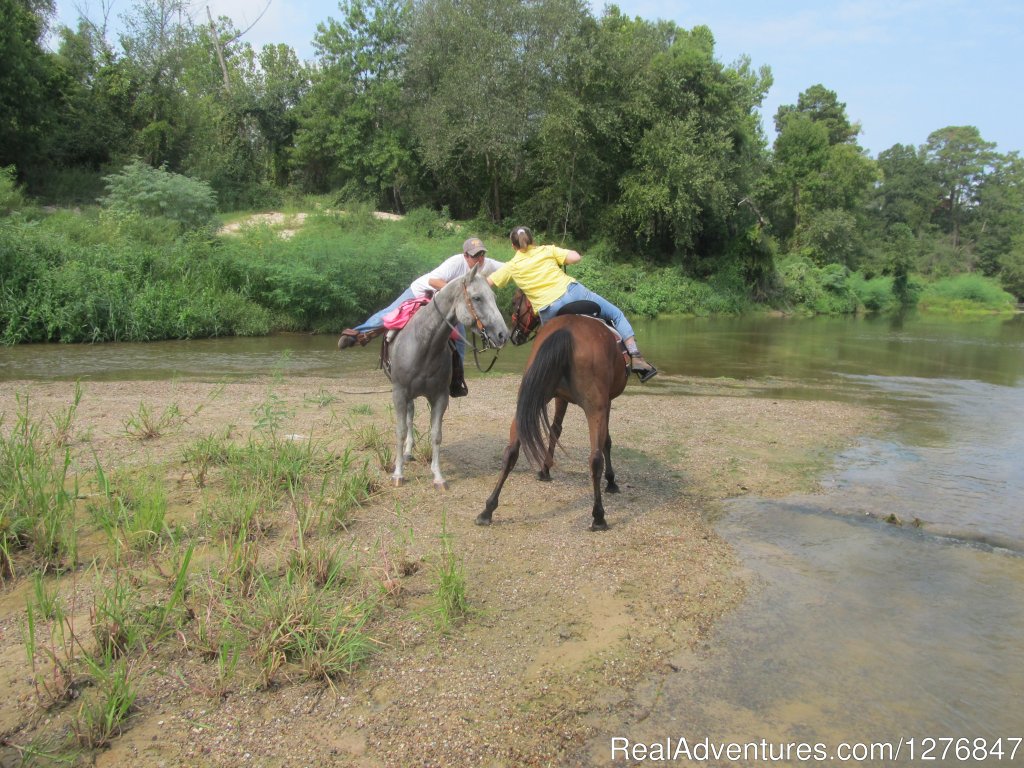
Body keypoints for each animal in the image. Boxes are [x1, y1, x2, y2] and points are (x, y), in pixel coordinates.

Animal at [387, 264, 507, 489]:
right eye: (477, 298)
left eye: (494, 297)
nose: (503, 335)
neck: (423, 345)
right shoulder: (399, 393)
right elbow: (399, 431)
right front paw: (398, 474)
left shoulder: (440, 397)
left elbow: (436, 435)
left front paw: (438, 476)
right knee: (409, 418)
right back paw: (406, 453)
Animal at [475, 311, 626, 528]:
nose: (515, 335)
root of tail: (567, 331)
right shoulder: (605, 403)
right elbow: (606, 441)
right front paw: (612, 481)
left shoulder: (560, 397)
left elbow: (555, 429)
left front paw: (545, 469)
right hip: (595, 408)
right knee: (596, 459)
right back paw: (598, 517)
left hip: (527, 402)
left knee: (510, 452)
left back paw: (487, 510)